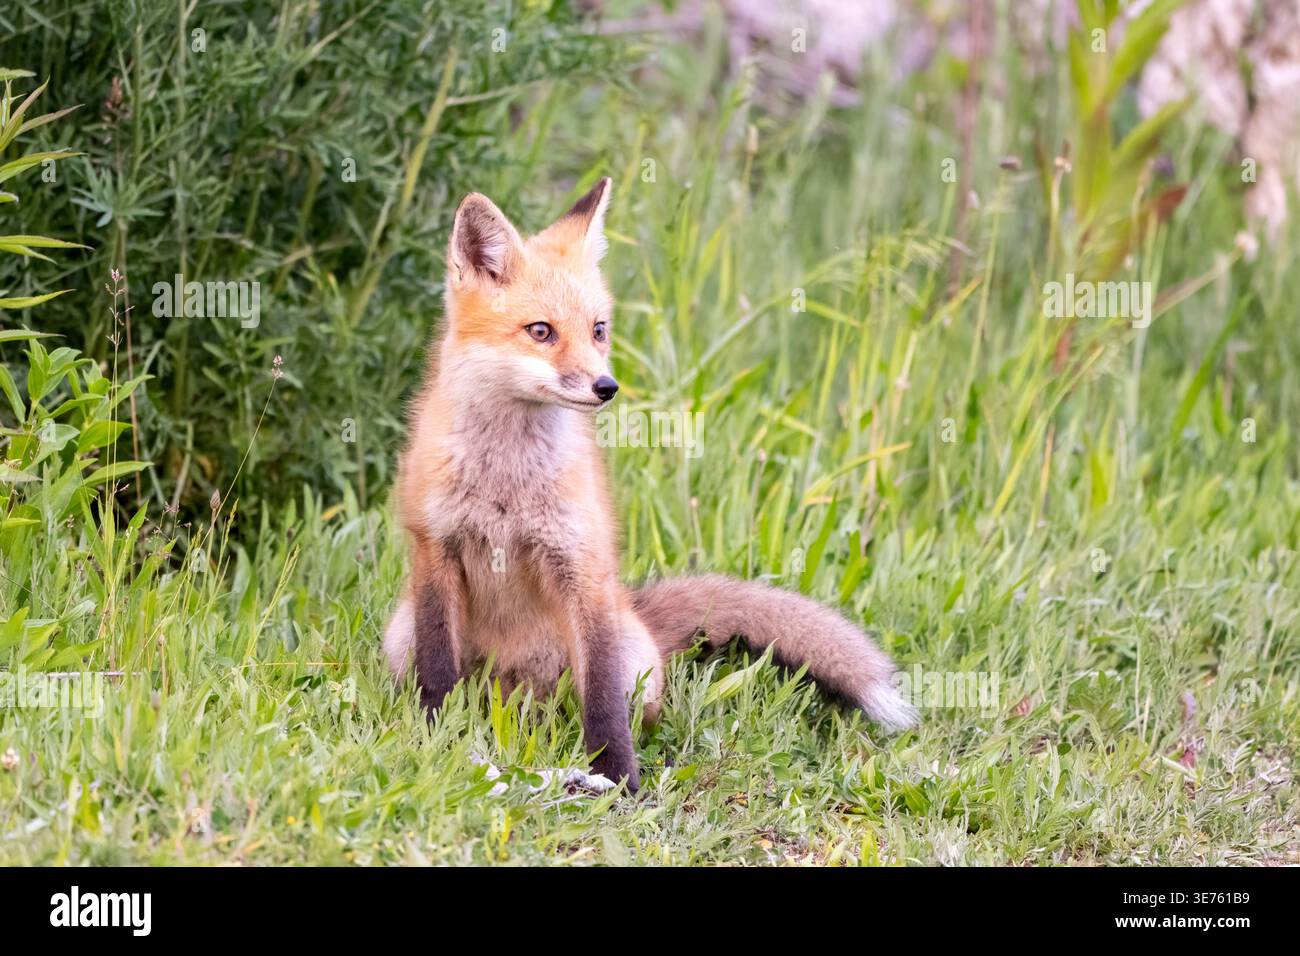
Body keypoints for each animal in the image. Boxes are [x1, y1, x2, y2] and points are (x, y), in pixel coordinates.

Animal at [383, 177, 917, 791]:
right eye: (541, 332)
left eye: (598, 330)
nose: (606, 386)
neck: (505, 486)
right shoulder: (434, 549)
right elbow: (438, 672)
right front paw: (436, 742)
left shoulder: (582, 565)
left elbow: (603, 698)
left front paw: (617, 777)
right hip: (399, 636)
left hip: (625, 652)